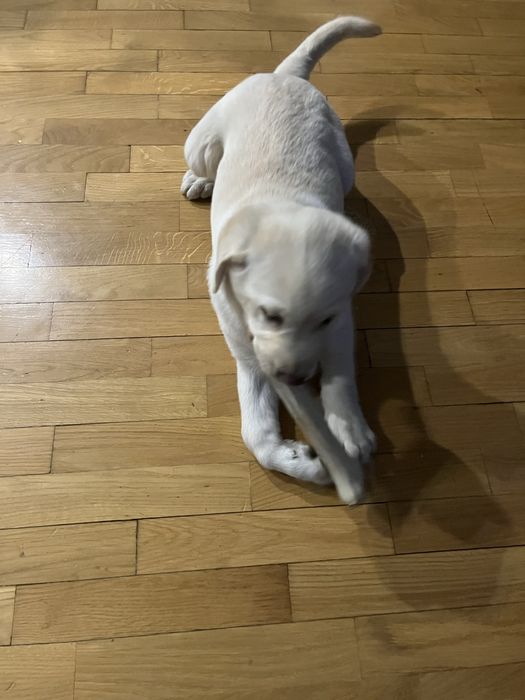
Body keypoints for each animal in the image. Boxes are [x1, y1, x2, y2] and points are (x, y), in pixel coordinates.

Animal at [181, 17, 380, 488]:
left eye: (323, 319)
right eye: (269, 315)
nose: (295, 377)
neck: (281, 204)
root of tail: (286, 76)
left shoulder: (342, 316)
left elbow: (341, 362)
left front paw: (348, 425)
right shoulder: (246, 350)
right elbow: (254, 432)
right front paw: (304, 461)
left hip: (344, 162)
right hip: (200, 141)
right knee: (204, 160)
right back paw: (199, 181)